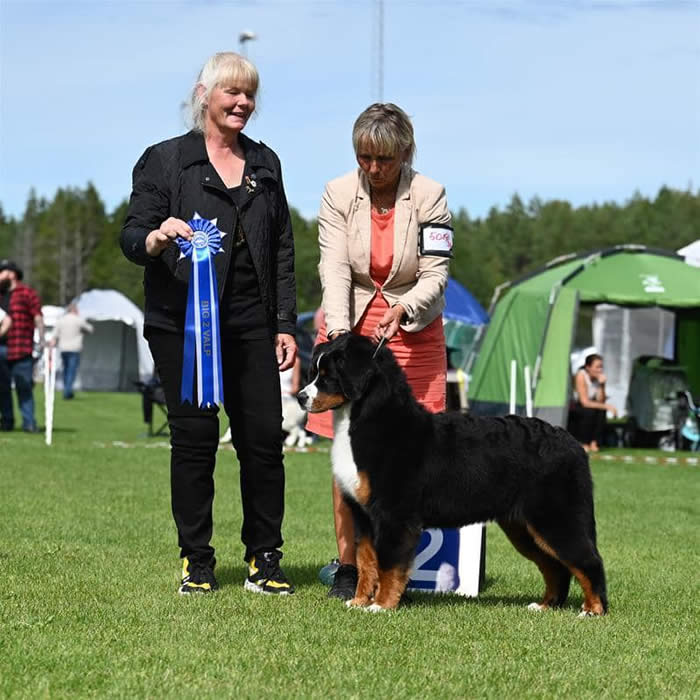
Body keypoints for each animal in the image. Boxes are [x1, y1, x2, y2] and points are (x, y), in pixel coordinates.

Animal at [298, 330, 608, 616]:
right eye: (314, 372)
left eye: (327, 375)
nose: (301, 397)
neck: (368, 421)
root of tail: (572, 442)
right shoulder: (364, 516)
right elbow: (366, 561)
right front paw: (359, 601)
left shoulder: (392, 515)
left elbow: (389, 565)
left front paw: (381, 605)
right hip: (524, 528)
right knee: (555, 567)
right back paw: (545, 606)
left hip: (557, 519)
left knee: (589, 561)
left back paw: (593, 610)